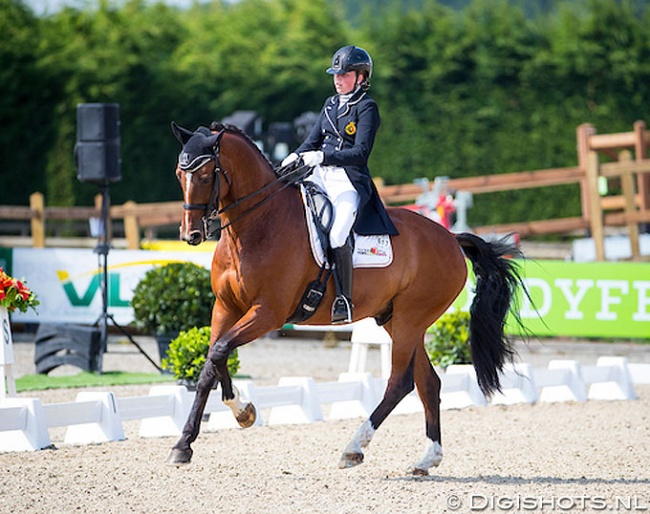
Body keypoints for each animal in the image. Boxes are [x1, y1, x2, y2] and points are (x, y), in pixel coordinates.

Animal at [166, 120, 520, 472]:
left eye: (206, 175)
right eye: (179, 174)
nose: (190, 234)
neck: (258, 226)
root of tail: (450, 238)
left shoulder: (268, 313)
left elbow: (220, 351)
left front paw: (239, 412)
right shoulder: (224, 308)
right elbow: (211, 364)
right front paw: (190, 440)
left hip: (410, 319)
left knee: (400, 382)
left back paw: (354, 447)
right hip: (396, 319)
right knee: (428, 382)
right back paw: (427, 458)